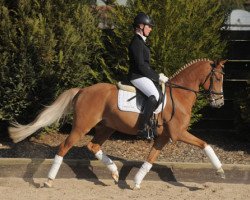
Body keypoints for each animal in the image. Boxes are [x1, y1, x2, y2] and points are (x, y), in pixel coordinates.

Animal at [8, 57, 227, 189]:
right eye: (217, 77)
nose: (219, 102)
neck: (179, 96)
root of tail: (83, 90)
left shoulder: (164, 137)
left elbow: (151, 158)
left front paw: (136, 182)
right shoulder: (178, 133)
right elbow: (205, 144)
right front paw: (220, 171)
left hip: (107, 127)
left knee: (92, 145)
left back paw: (113, 172)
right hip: (82, 126)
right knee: (64, 147)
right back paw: (49, 181)